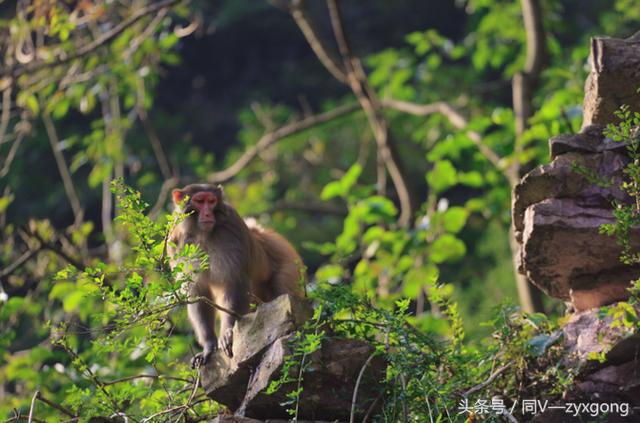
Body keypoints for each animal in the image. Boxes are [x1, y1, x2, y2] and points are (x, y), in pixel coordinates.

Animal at [165, 184, 304, 370]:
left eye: (211, 201)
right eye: (199, 201)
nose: (207, 214)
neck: (202, 235)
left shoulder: (233, 228)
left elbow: (234, 282)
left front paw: (228, 332)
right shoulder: (175, 243)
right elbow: (197, 293)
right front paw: (209, 346)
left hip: (289, 264)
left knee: (282, 289)